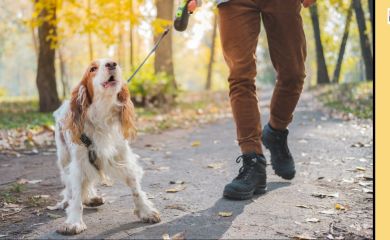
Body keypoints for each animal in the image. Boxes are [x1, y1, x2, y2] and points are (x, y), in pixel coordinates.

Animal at [51, 59, 160, 235]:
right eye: (93, 69)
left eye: (114, 61)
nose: (112, 64)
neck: (102, 114)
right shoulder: (79, 163)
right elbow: (76, 195)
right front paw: (74, 222)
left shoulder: (122, 156)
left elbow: (135, 188)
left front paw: (146, 211)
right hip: (64, 158)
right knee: (69, 185)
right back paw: (69, 200)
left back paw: (91, 198)